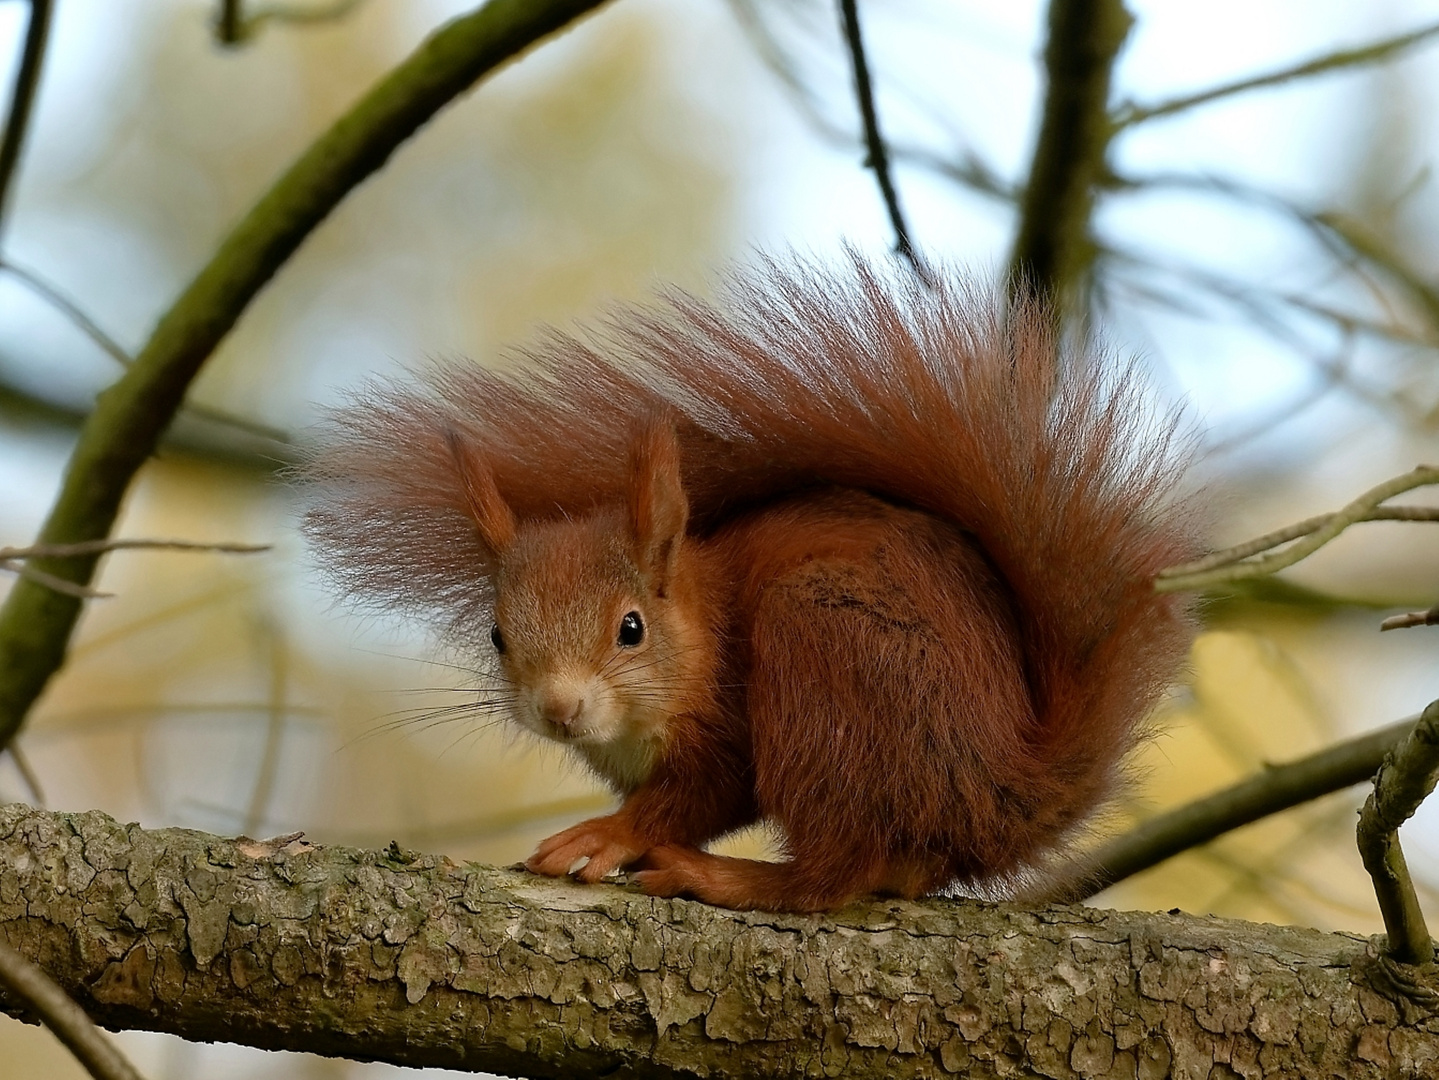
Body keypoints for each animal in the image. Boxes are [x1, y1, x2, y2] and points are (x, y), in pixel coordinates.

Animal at [306, 255, 1203, 914]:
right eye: (497, 635)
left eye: (631, 627)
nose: (560, 709)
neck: (697, 627)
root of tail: (999, 791)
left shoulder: (730, 728)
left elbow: (701, 795)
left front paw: (607, 835)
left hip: (824, 656)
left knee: (831, 877)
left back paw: (729, 878)